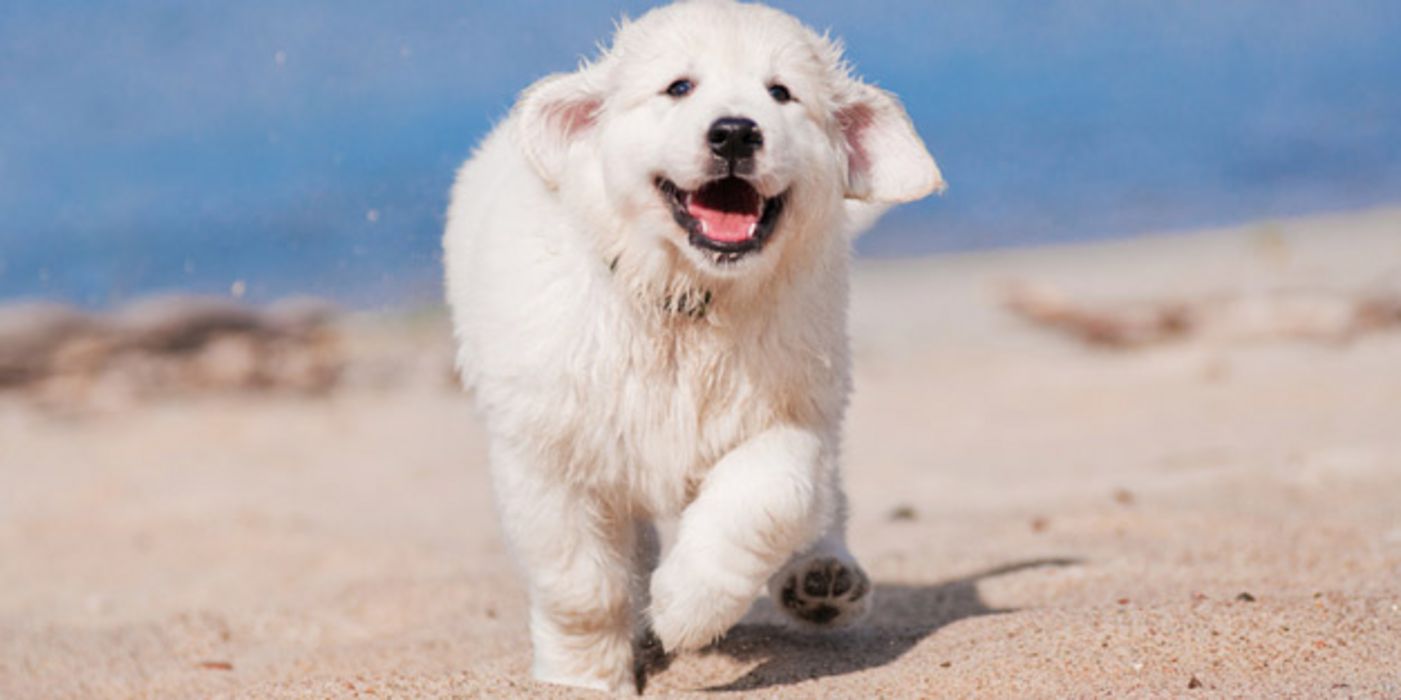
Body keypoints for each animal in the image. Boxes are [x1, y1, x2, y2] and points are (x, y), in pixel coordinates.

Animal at [439, 0, 941, 688]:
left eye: (781, 93)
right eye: (679, 87)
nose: (734, 133)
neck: (686, 303)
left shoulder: (790, 412)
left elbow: (770, 498)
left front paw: (684, 609)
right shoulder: (547, 454)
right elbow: (578, 586)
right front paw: (583, 677)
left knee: (826, 500)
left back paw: (822, 579)